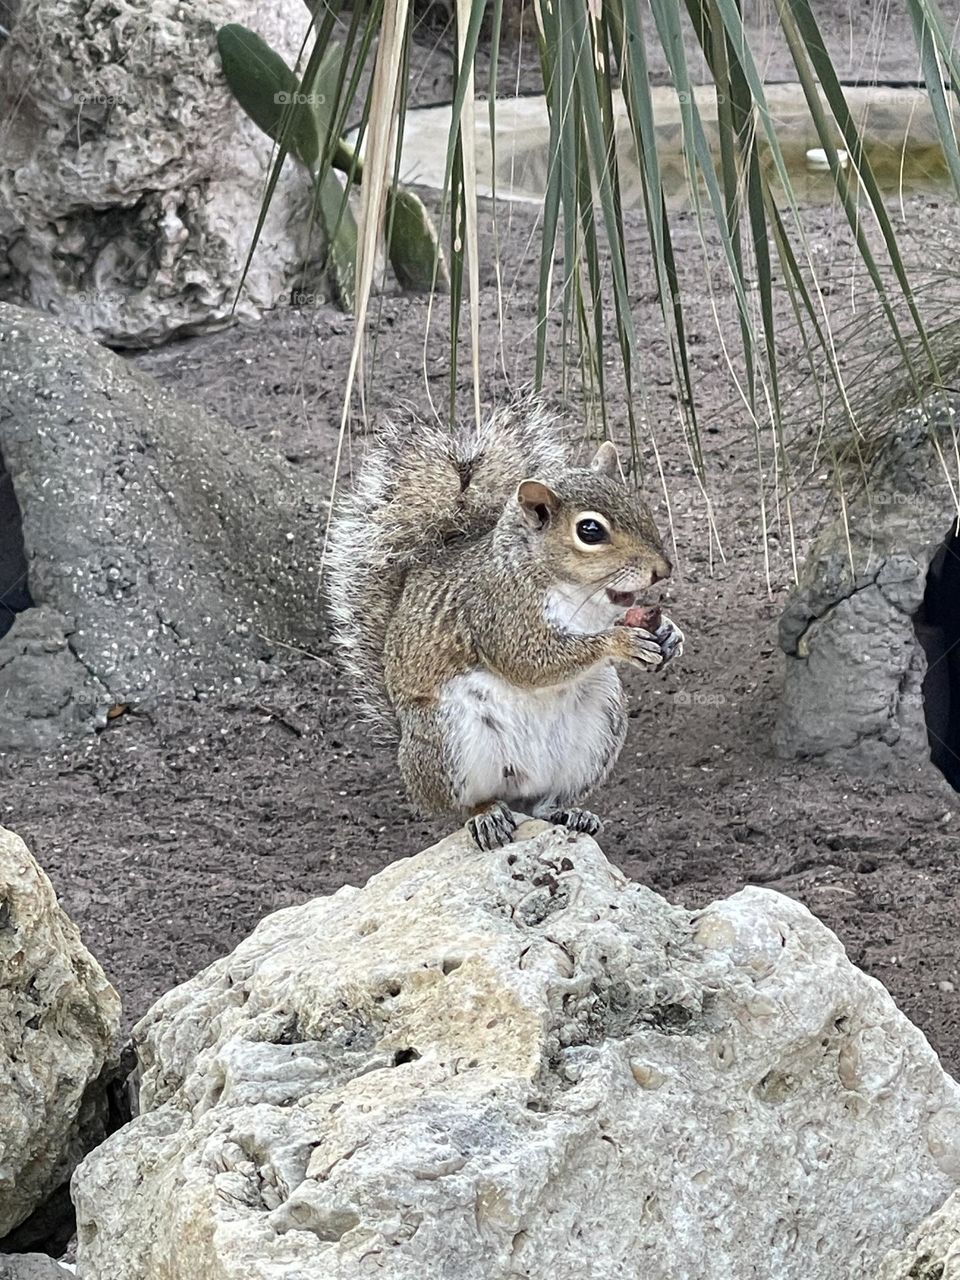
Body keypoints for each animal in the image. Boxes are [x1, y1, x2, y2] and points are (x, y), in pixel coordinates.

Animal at [325, 397, 683, 851]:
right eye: (590, 530)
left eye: (637, 502)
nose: (662, 570)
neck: (573, 591)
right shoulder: (497, 612)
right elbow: (529, 661)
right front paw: (619, 642)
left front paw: (670, 634)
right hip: (448, 738)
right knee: (462, 807)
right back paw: (486, 816)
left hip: (600, 724)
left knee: (544, 803)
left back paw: (569, 813)